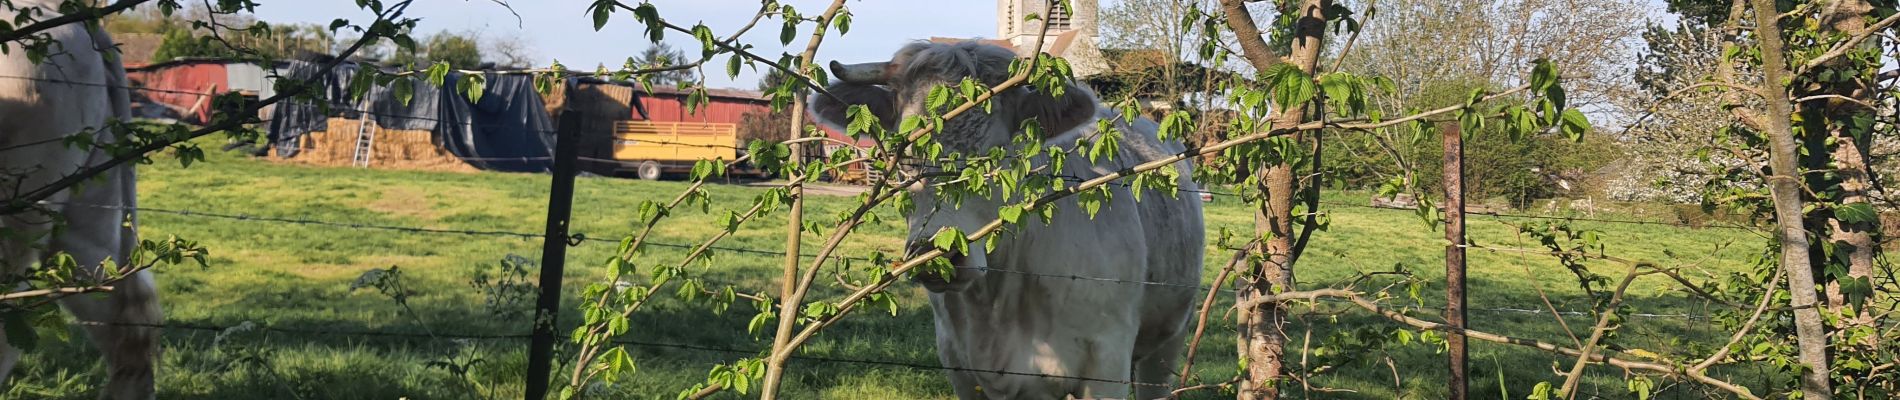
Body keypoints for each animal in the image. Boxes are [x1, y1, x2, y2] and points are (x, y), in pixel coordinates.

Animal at [805, 41, 1200, 400]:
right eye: (905, 152)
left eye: (1000, 156)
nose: (935, 253)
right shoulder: (959, 365)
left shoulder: (1107, 363)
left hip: (1167, 343)